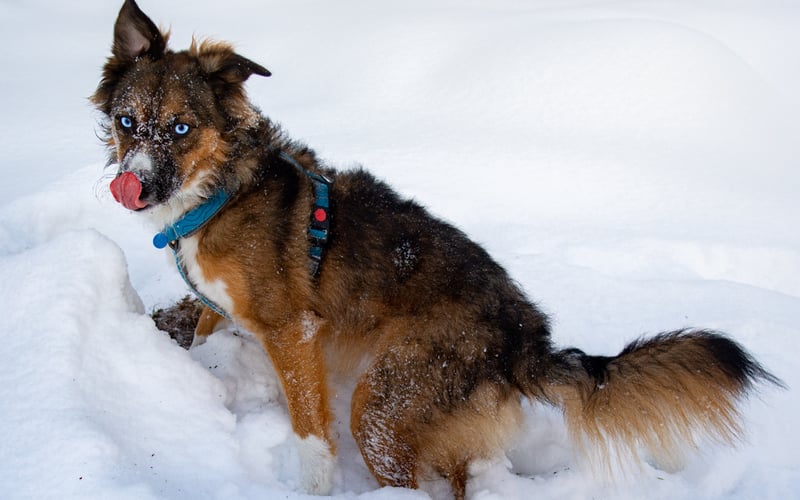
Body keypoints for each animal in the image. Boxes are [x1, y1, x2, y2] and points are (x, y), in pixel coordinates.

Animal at [92, 1, 780, 498]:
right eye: (127, 121)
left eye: (182, 128)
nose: (135, 186)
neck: (221, 190)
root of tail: (525, 336)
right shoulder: (224, 303)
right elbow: (206, 333)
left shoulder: (294, 331)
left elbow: (311, 430)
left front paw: (311, 485)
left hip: (384, 404)